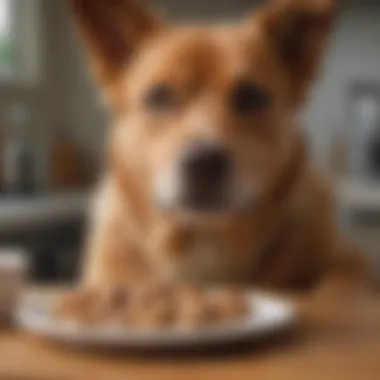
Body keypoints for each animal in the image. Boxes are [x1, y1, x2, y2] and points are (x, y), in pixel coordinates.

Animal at [67, 0, 368, 296]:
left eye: (251, 97)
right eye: (159, 96)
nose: (203, 163)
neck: (206, 241)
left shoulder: (350, 260)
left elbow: (338, 287)